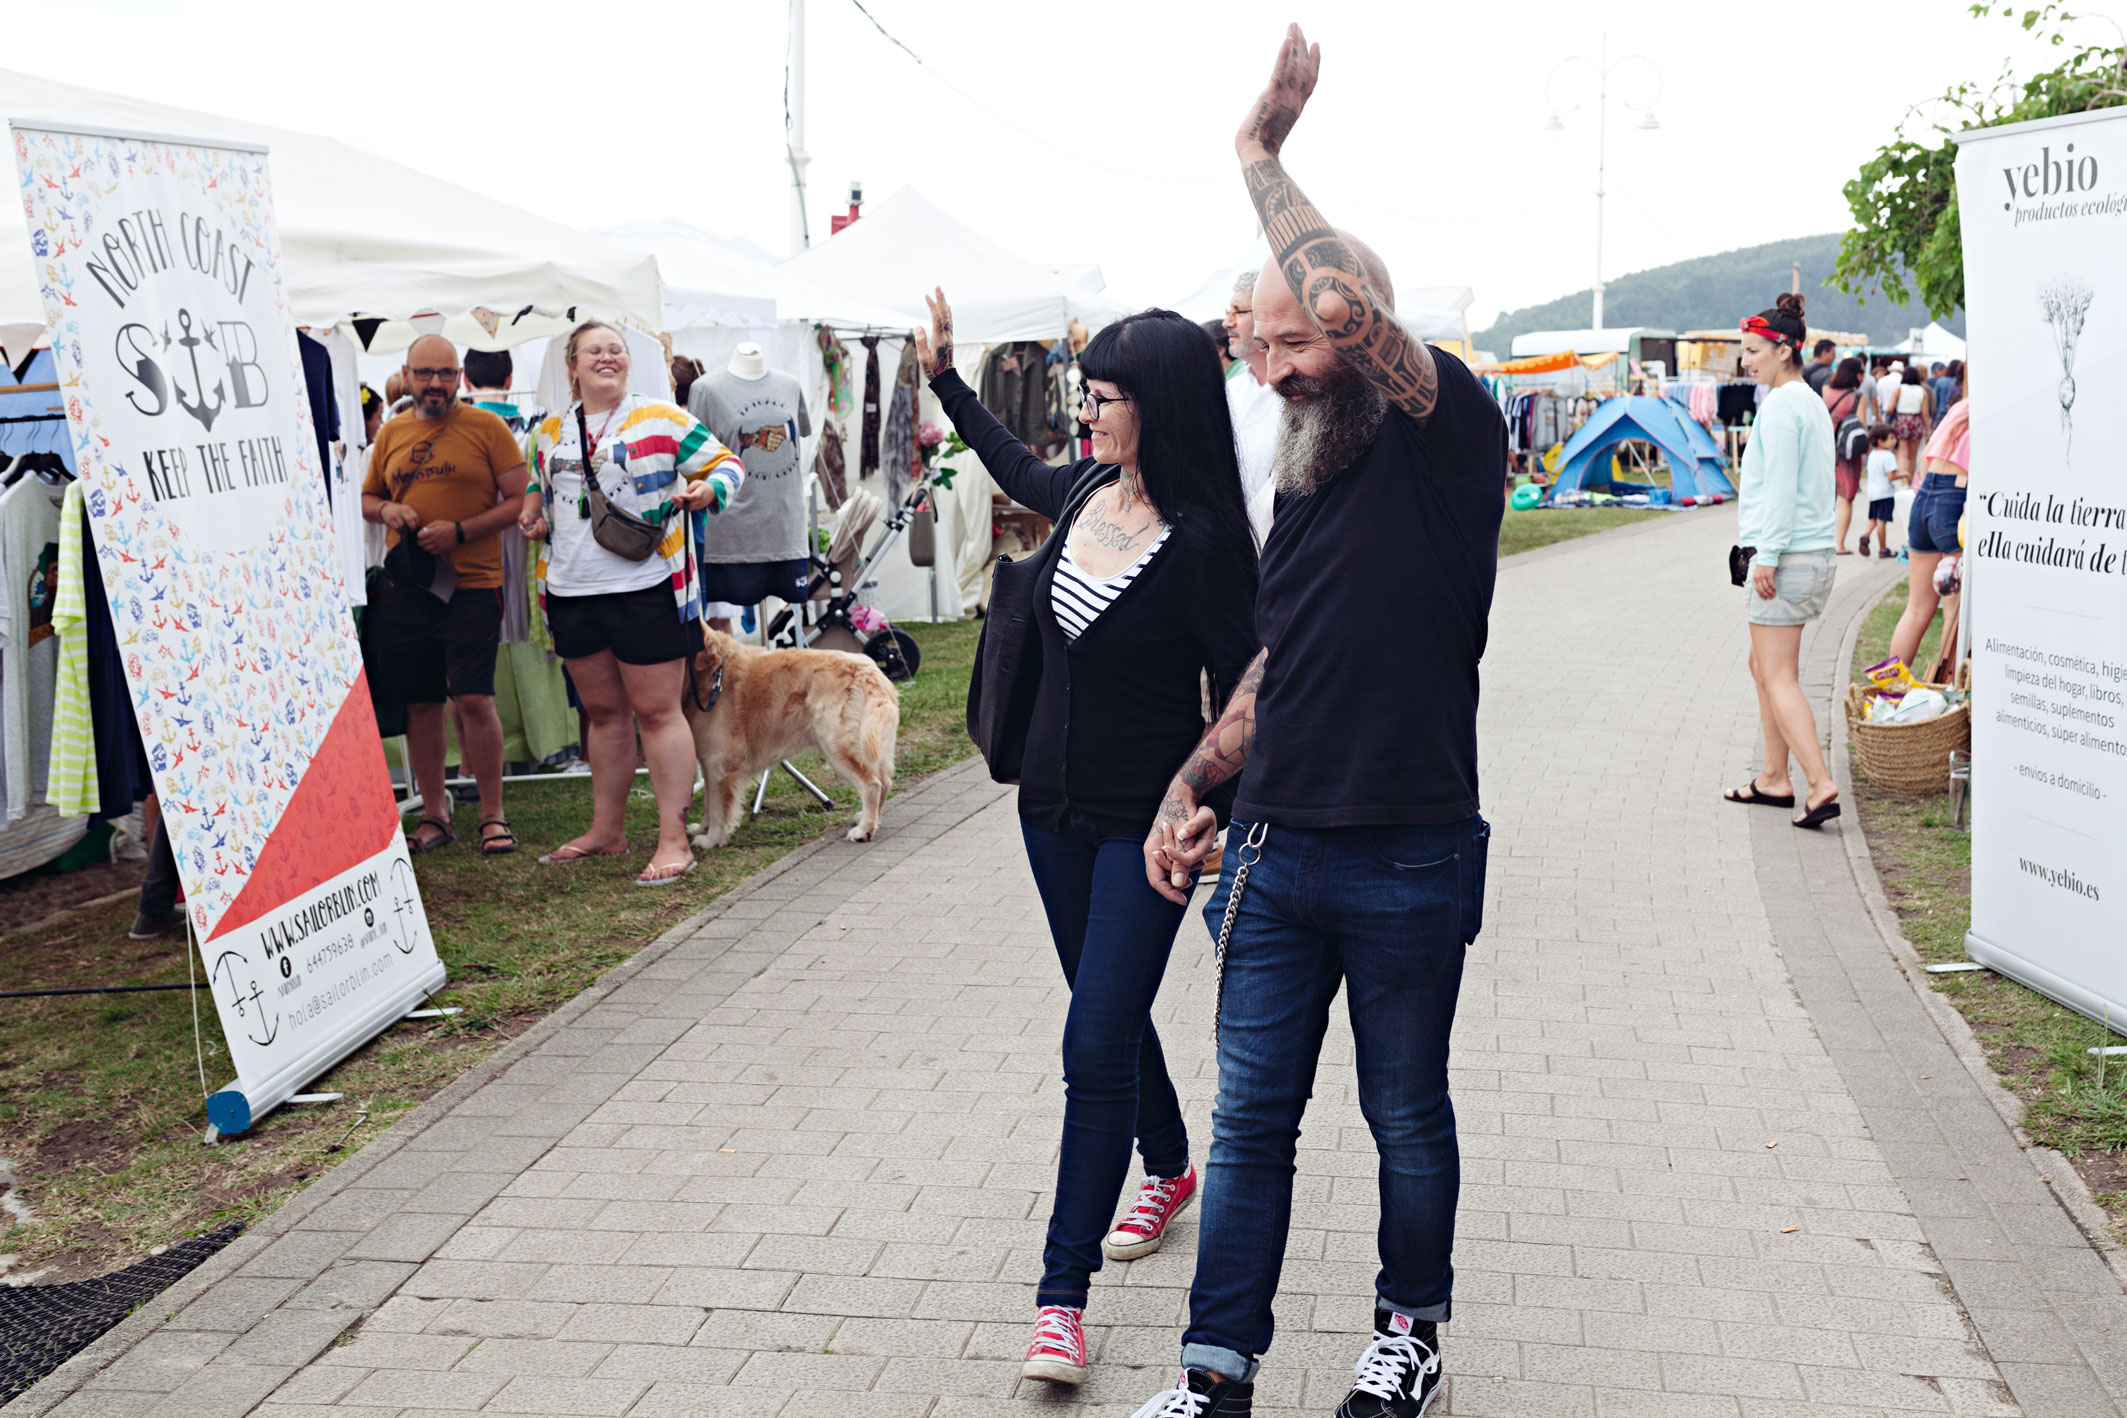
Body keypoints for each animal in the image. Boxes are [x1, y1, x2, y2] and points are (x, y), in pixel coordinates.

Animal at [680, 629, 897, 850]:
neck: (714, 672)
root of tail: (869, 672)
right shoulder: (707, 763)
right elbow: (708, 803)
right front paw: (700, 829)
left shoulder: (720, 764)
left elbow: (717, 809)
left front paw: (711, 839)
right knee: (885, 781)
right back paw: (869, 819)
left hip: (836, 747)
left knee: (872, 784)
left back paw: (864, 830)